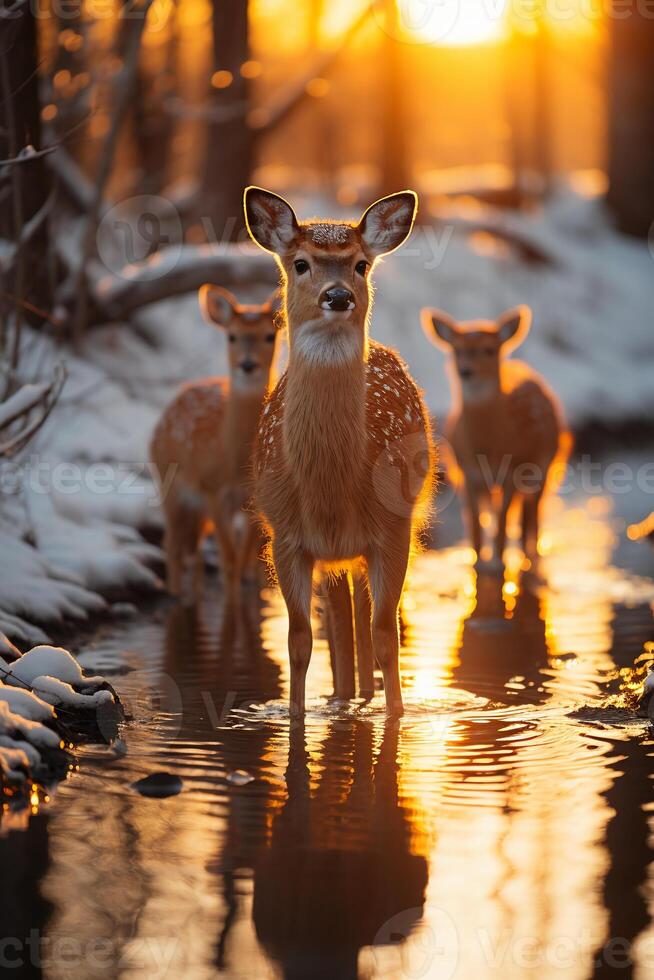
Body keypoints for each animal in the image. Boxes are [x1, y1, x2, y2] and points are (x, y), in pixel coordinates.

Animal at [150, 286, 284, 596]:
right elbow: (230, 561)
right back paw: (175, 594)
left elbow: (246, 562)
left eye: (269, 336)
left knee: (194, 548)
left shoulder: (253, 500)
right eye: (231, 335)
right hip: (169, 485)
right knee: (172, 545)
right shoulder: (211, 490)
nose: (247, 364)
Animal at [245, 186, 436, 720]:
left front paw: (394, 716)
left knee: (361, 625)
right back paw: (343, 698)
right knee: (339, 629)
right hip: (329, 555)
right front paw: (295, 716)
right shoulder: (286, 537)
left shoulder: (393, 529)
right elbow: (298, 641)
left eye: (361, 265)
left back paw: (360, 699)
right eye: (301, 263)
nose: (338, 296)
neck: (331, 490)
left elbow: (386, 636)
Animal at [422, 304, 572, 568]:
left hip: (547, 463)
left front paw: (500, 562)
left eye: (489, 350)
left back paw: (531, 555)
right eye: (457, 349)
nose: (466, 371)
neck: (489, 448)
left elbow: (503, 519)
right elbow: (474, 522)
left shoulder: (512, 472)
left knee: (533, 510)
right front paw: (477, 561)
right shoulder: (467, 473)